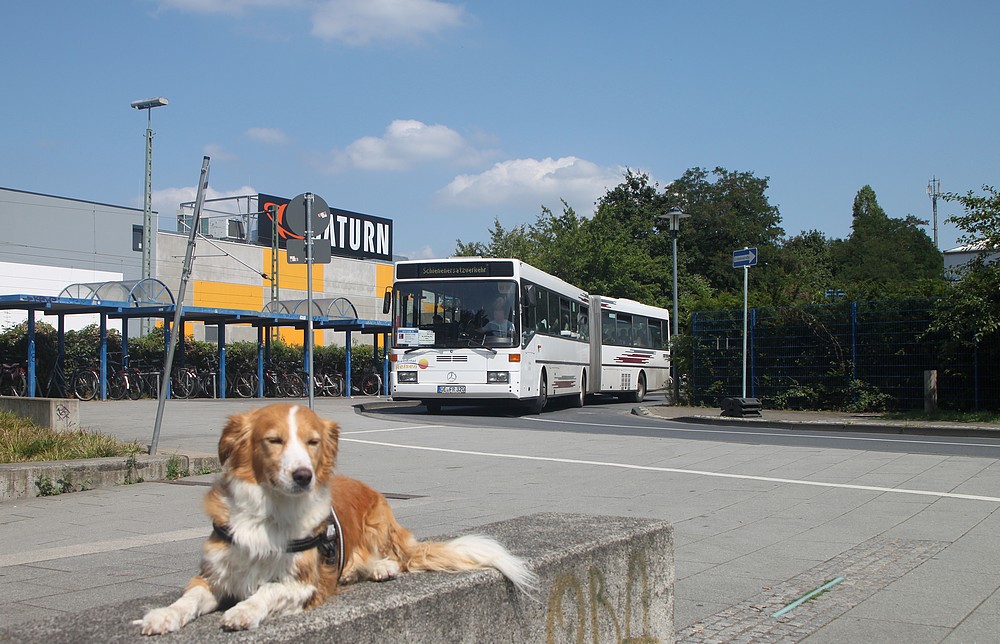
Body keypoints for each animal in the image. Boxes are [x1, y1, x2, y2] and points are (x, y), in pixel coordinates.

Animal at [139, 402, 540, 632]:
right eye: (274, 440)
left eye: (313, 442)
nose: (304, 475)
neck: (271, 513)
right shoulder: (213, 575)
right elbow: (187, 600)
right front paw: (161, 616)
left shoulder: (305, 583)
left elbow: (268, 590)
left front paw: (243, 612)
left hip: (377, 522)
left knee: (393, 559)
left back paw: (381, 567)